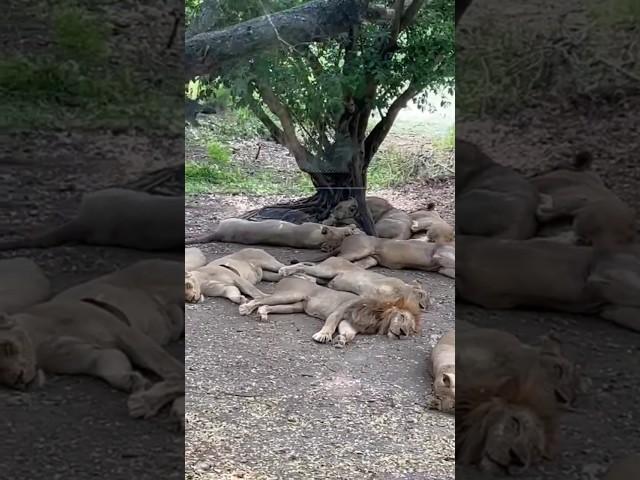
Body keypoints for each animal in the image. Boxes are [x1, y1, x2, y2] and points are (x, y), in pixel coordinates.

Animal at [239, 276, 420, 346]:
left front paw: (341, 340)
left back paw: (262, 313)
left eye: (411, 330)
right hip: (291, 294)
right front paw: (323, 336)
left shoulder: (351, 323)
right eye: (402, 317)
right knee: (260, 299)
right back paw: (245, 308)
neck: (379, 319)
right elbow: (331, 324)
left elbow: (349, 333)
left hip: (293, 306)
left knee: (266, 305)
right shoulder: (341, 310)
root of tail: (287, 278)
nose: (403, 333)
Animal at [276, 256, 430, 310]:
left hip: (322, 277)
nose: (426, 306)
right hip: (325, 271)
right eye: (423, 295)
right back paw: (284, 270)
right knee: (303, 266)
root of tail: (333, 257)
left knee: (308, 275)